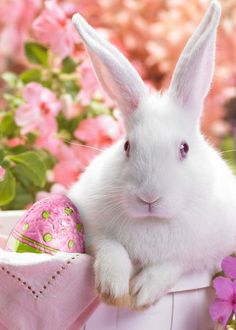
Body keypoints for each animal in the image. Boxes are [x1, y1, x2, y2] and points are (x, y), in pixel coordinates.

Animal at [68, 0, 236, 310]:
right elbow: (110, 247)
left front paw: (141, 292)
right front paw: (113, 288)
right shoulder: (94, 229)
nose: (149, 197)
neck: (152, 223)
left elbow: (174, 263)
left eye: (184, 148)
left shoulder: (206, 252)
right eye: (126, 146)